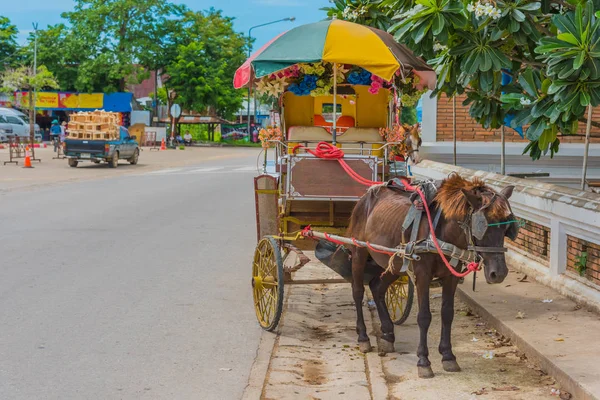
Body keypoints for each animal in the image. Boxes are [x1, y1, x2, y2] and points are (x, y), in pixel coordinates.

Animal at [344, 174, 516, 378]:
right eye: (484, 226)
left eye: (506, 228)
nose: (499, 273)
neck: (442, 233)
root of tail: (366, 197)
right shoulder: (422, 275)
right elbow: (424, 317)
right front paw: (423, 361)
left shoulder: (451, 277)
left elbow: (447, 314)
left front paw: (448, 356)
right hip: (359, 251)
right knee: (358, 291)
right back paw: (363, 337)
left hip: (394, 264)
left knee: (377, 287)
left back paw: (387, 334)